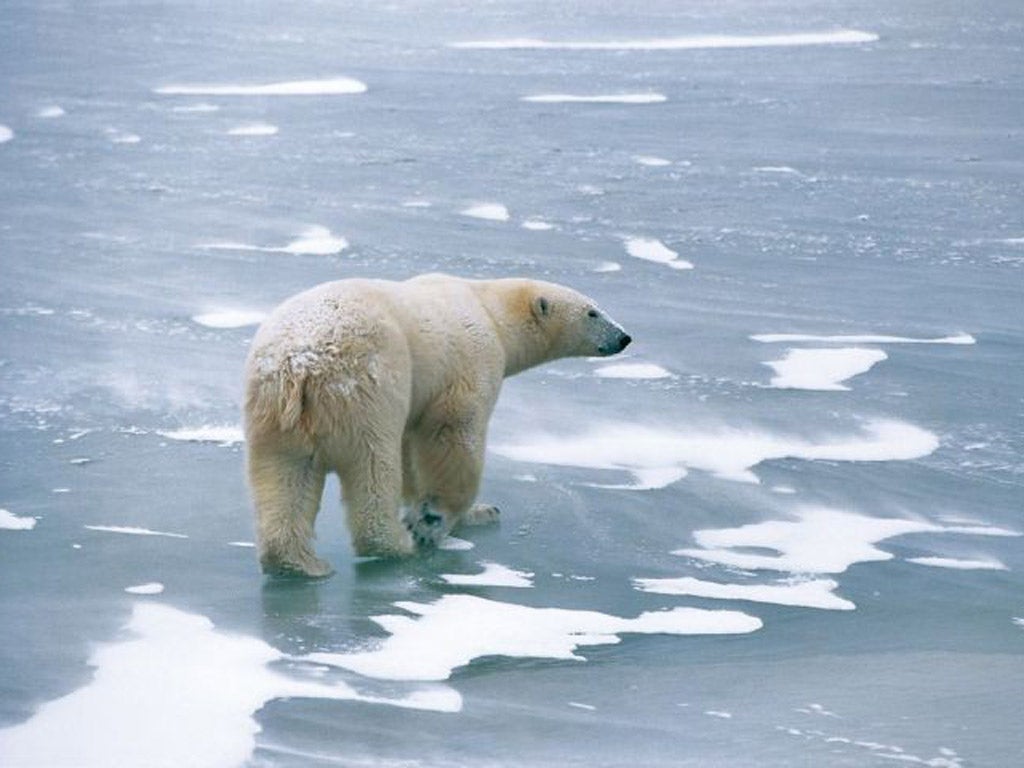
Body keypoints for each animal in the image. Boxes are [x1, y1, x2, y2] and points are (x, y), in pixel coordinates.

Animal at [245, 274, 630, 573]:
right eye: (593, 311)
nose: (624, 337)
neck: (489, 310)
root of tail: (300, 364)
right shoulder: (471, 360)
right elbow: (454, 433)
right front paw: (443, 518)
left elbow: (412, 448)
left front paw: (441, 510)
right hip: (364, 388)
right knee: (372, 465)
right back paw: (397, 545)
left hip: (274, 412)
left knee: (285, 474)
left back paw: (300, 564)